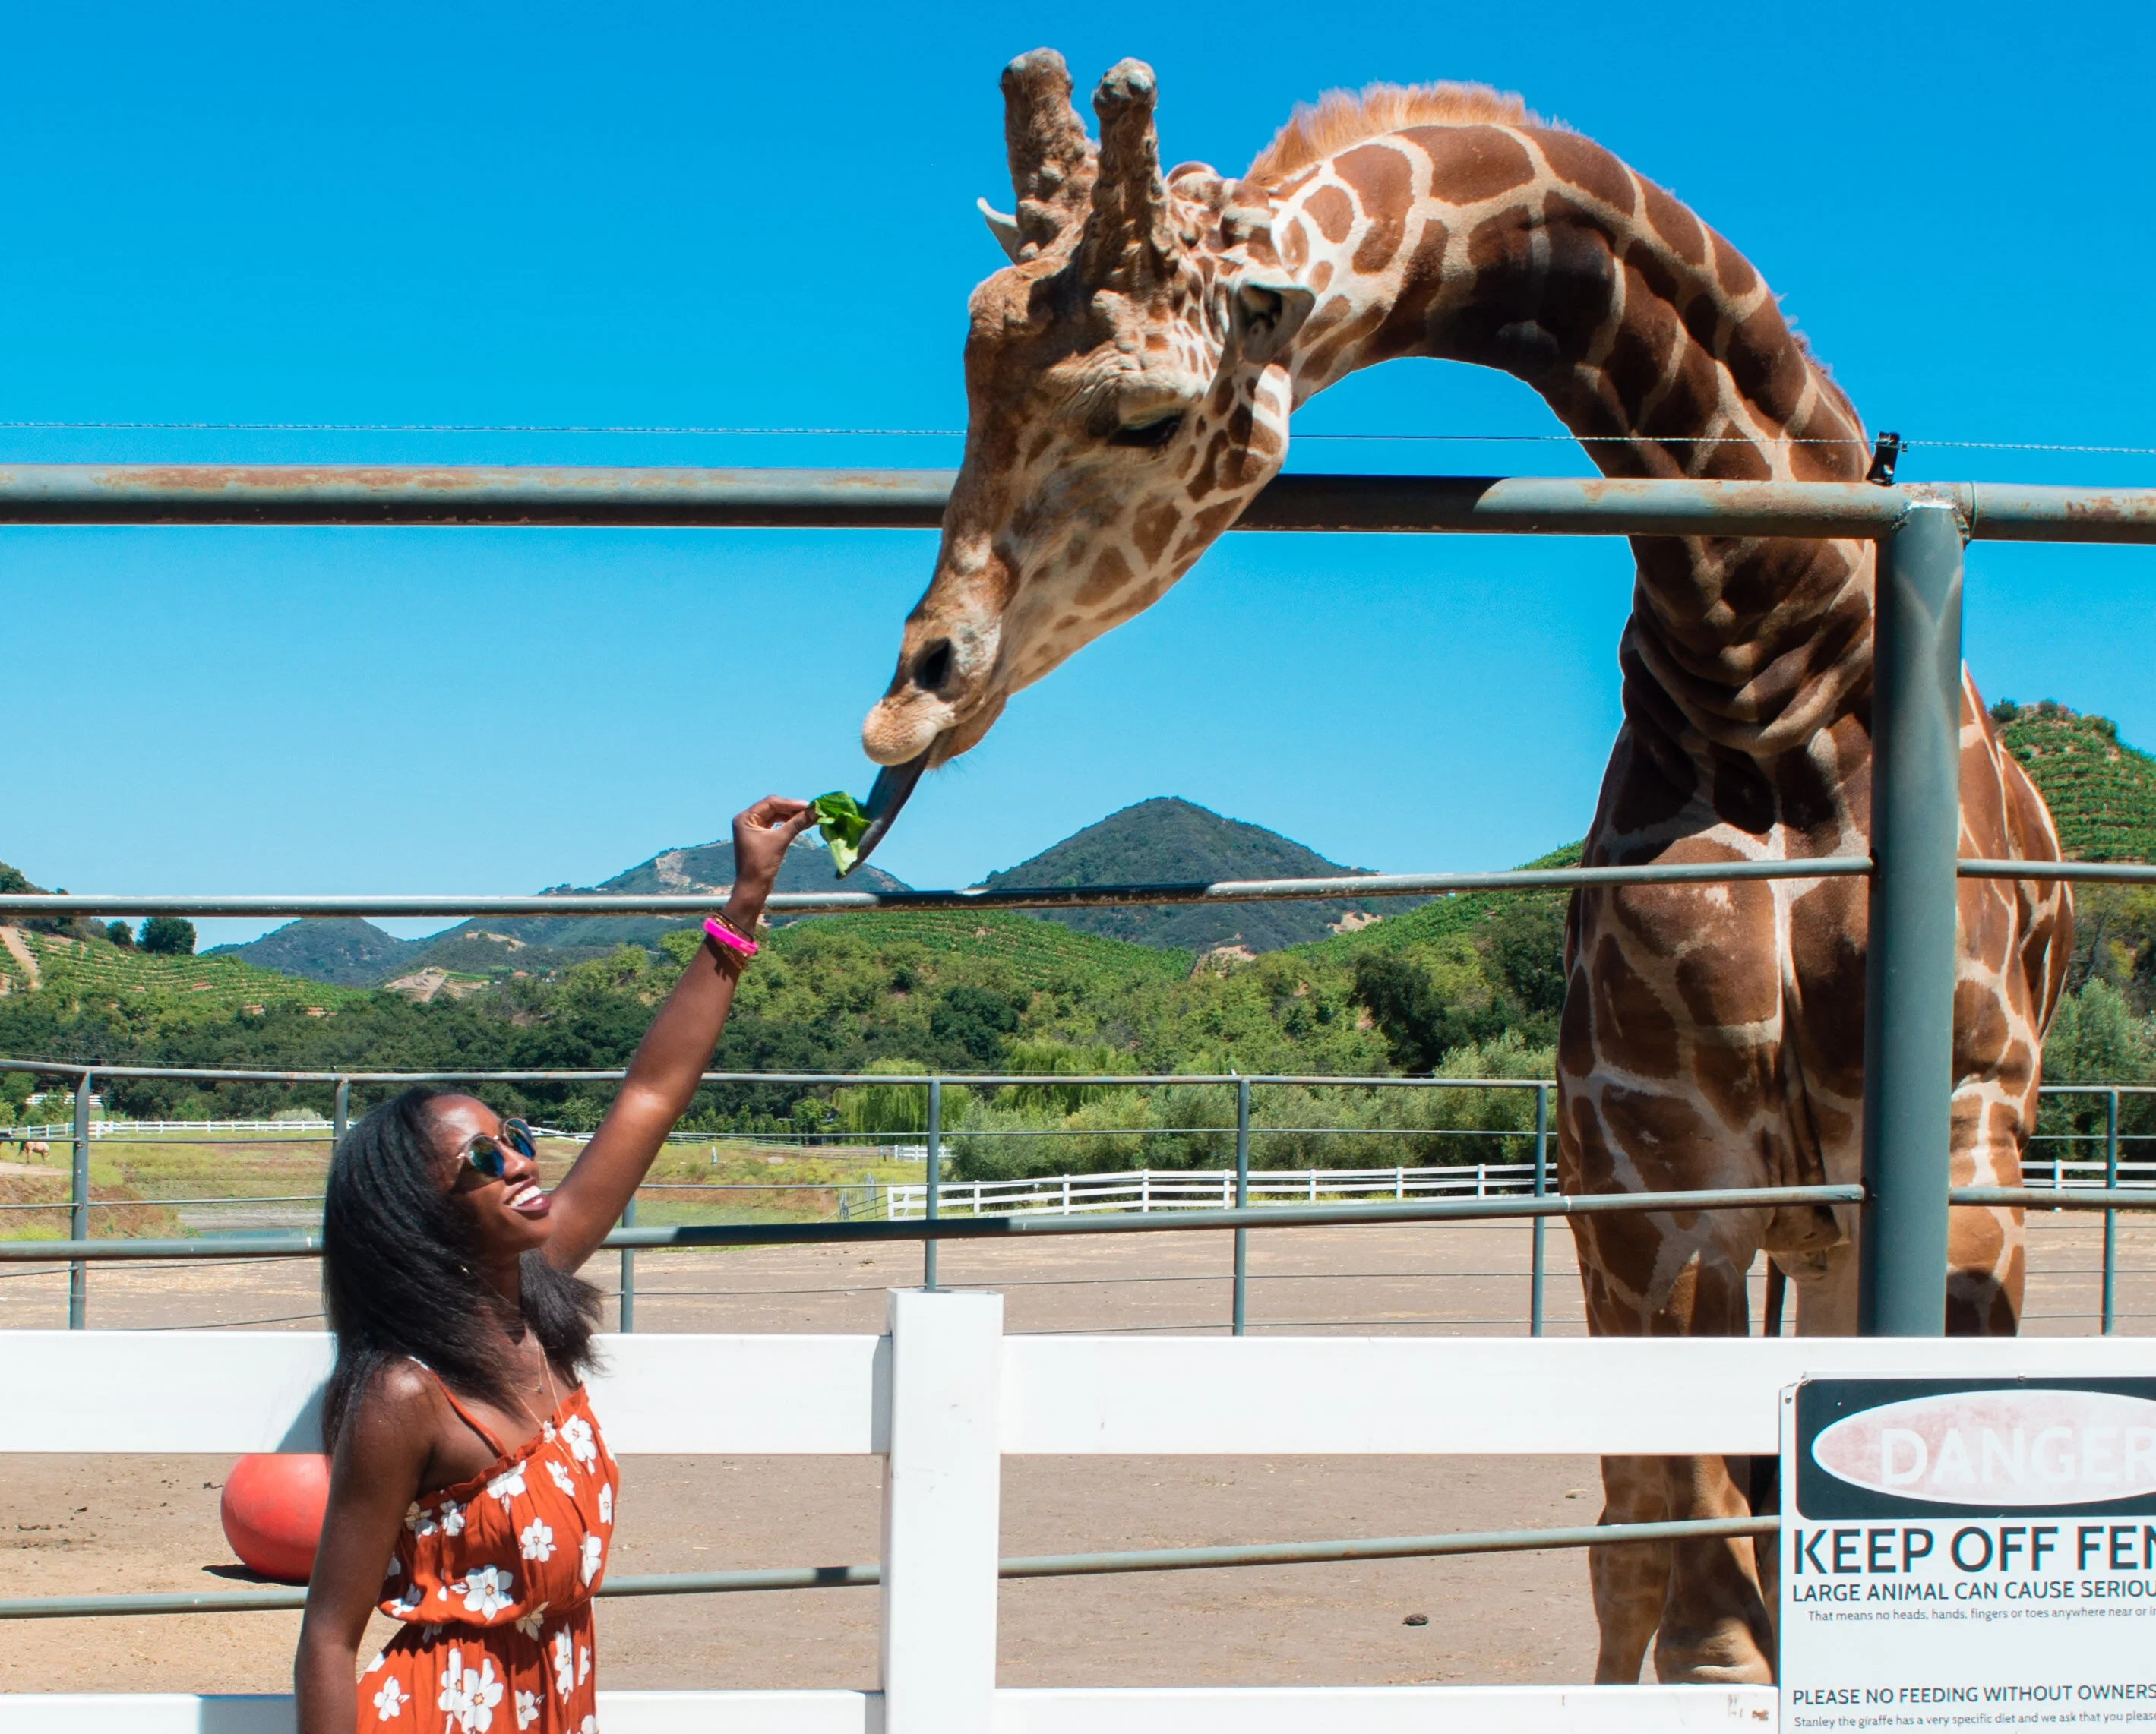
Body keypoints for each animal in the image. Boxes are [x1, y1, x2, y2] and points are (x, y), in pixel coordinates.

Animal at [853, 50, 2069, 1682]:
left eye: (1142, 414)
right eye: (972, 383)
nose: (912, 693)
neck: (1781, 665)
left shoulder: (1960, 1130)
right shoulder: (1668, 1161)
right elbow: (1707, 1621)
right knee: (1634, 1546)